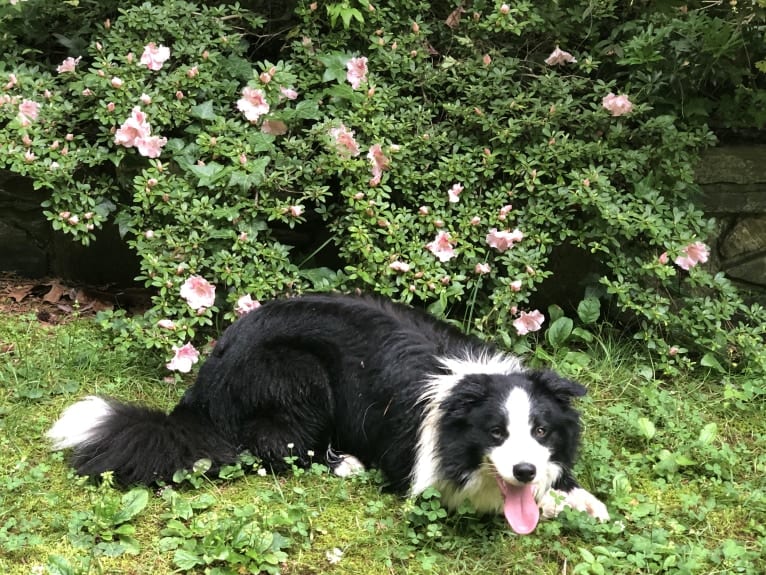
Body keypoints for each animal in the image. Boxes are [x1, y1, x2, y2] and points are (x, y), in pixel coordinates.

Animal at [49, 296, 612, 536]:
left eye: (541, 430)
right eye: (494, 433)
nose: (525, 471)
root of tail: (203, 389)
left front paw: (577, 497)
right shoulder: (424, 471)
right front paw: (550, 503)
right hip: (299, 374)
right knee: (274, 446)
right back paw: (343, 462)